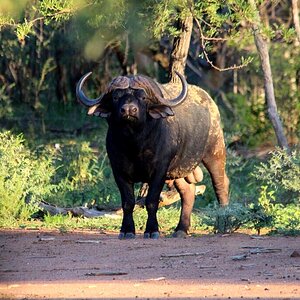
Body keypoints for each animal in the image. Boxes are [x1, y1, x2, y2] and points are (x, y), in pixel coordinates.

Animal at [76, 71, 229, 239]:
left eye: (143, 97)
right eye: (116, 97)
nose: (128, 110)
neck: (135, 145)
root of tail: (211, 103)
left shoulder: (159, 170)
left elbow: (151, 201)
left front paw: (152, 230)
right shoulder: (118, 170)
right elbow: (128, 202)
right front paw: (127, 230)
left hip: (215, 152)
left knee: (221, 185)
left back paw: (223, 226)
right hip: (178, 170)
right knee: (188, 191)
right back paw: (181, 229)